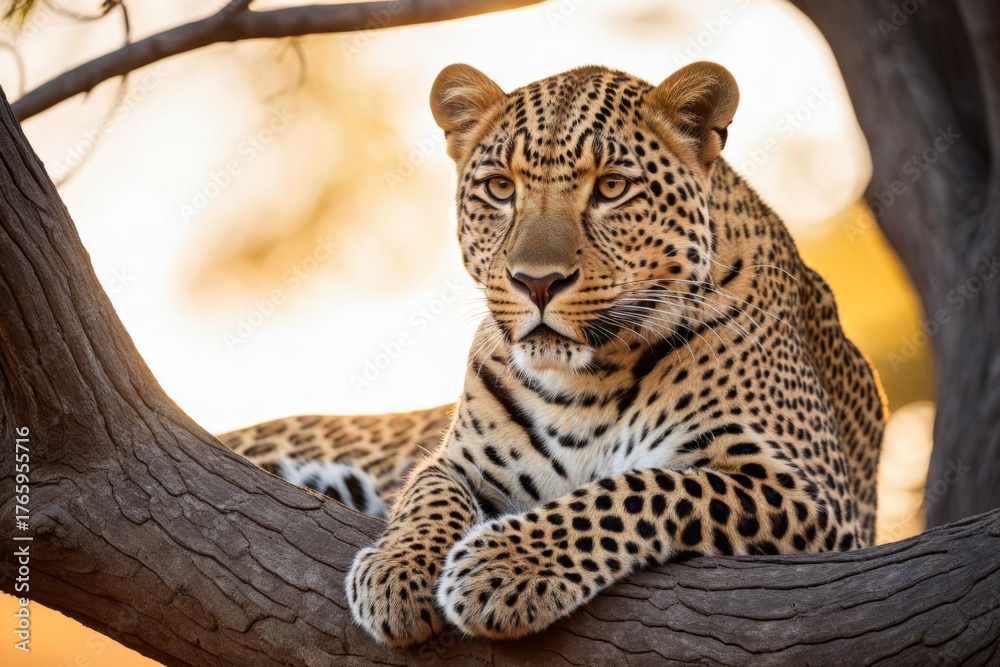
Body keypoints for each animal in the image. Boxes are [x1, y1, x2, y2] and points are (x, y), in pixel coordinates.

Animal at [219, 61, 886, 647]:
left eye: (612, 188)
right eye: (500, 188)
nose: (536, 283)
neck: (587, 382)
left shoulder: (811, 495)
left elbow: (637, 488)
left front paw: (503, 565)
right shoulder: (460, 462)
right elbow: (427, 495)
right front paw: (394, 570)